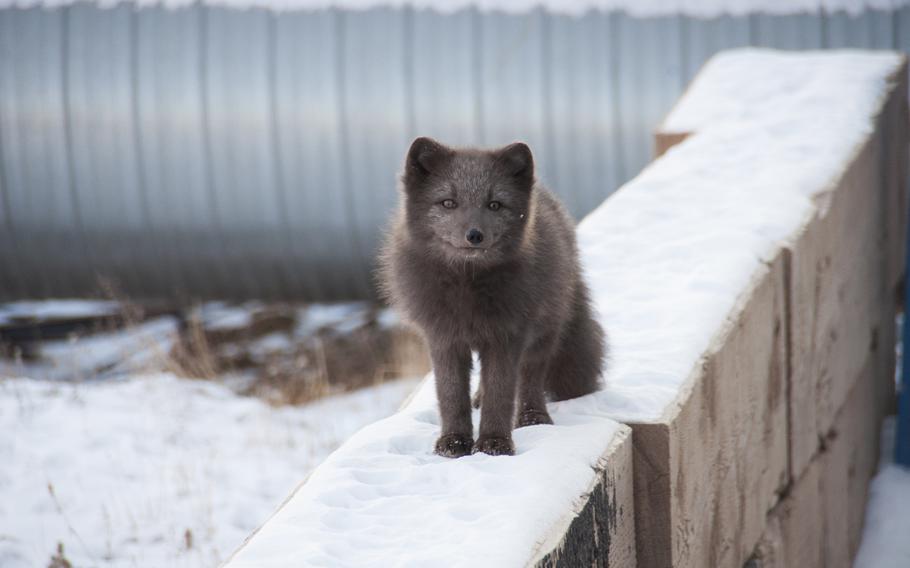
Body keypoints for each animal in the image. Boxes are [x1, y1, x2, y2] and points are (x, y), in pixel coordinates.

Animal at [378, 136, 604, 458]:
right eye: (448, 203)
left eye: (495, 205)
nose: (474, 235)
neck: (467, 288)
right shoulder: (443, 338)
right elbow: (450, 394)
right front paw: (454, 441)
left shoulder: (506, 336)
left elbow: (501, 391)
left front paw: (494, 443)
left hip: (545, 330)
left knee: (531, 377)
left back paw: (533, 417)